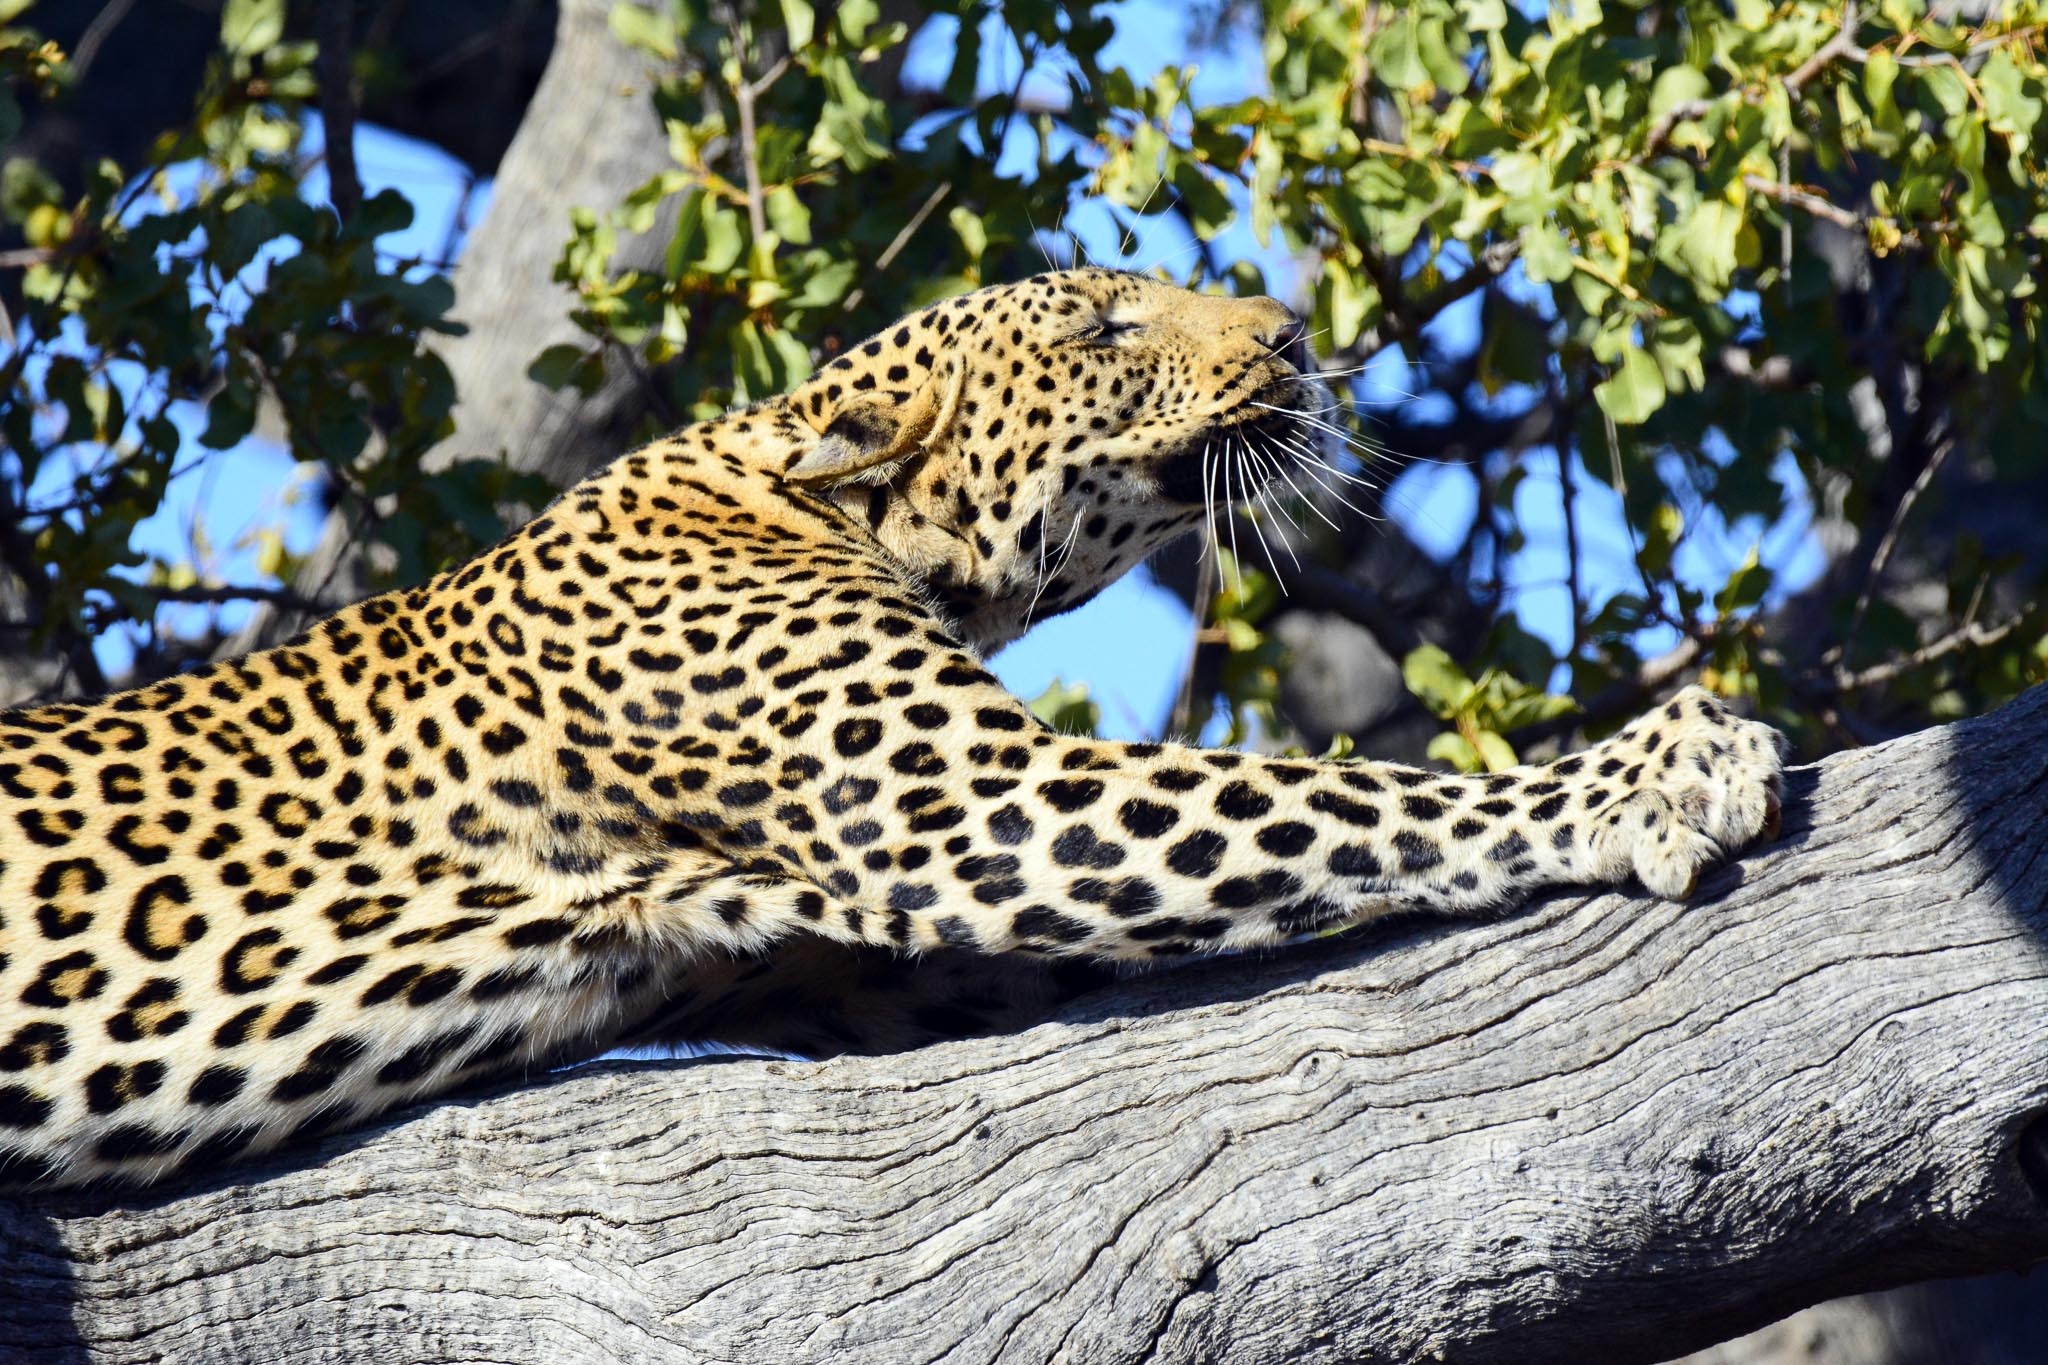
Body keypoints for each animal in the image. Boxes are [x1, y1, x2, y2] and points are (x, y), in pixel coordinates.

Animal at [0, 268, 1785, 1188]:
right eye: (1104, 328)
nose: (1291, 335)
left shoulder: (858, 956)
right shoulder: (980, 806)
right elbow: (1352, 802)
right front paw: (1660, 766)